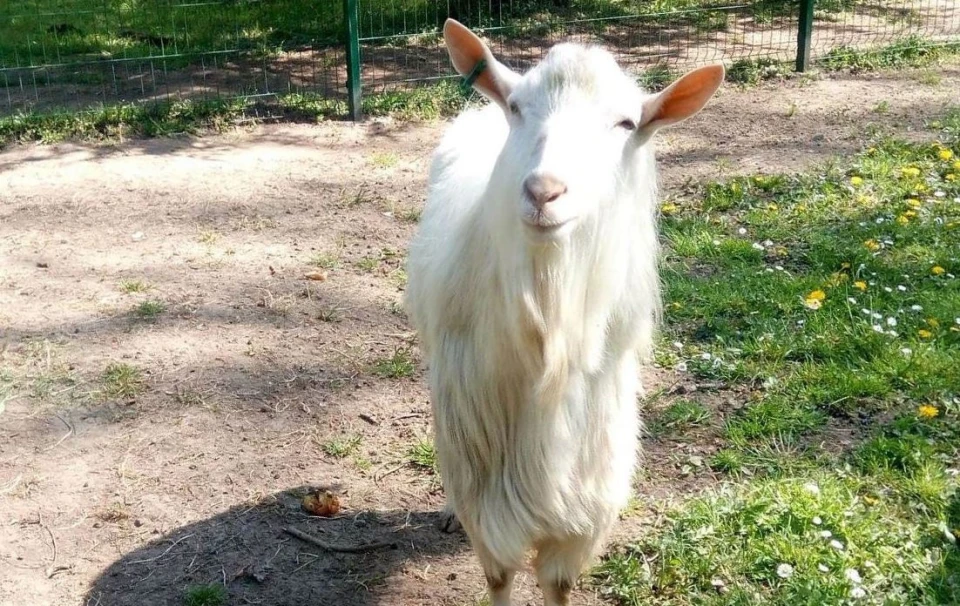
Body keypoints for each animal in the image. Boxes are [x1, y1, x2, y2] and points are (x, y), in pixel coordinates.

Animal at [404, 19, 723, 606]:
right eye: (518, 107)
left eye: (627, 122)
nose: (543, 190)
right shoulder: (483, 464)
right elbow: (498, 575)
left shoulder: (589, 481)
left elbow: (557, 582)